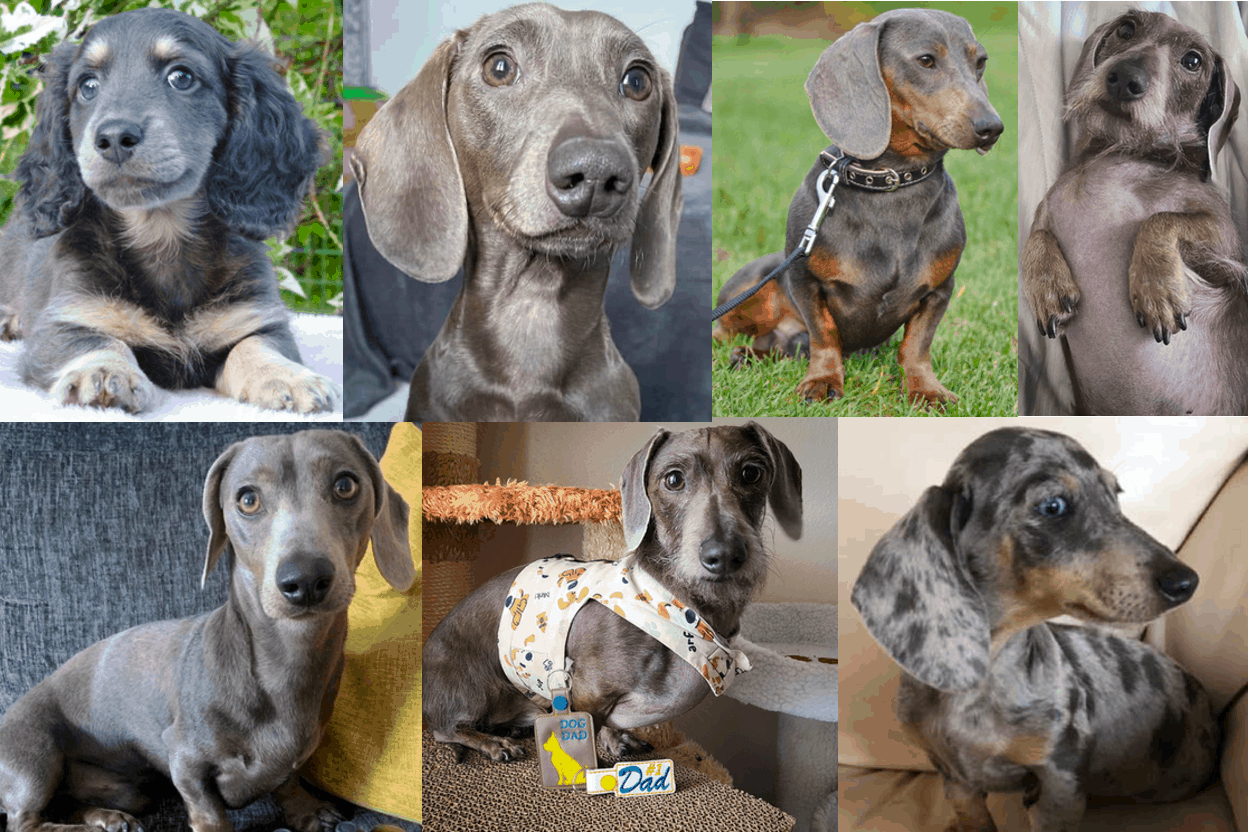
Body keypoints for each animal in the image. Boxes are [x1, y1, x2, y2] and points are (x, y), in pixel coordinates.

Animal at [0, 9, 339, 414]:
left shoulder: (255, 318)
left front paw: (287, 375)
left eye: (182, 77)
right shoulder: (65, 320)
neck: (161, 232)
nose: (113, 137)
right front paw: (103, 370)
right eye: (87, 86)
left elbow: (256, 345)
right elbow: (96, 341)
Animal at [718, 8, 998, 409]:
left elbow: (917, 345)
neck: (891, 181)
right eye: (926, 60)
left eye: (981, 62)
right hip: (752, 289)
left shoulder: (940, 290)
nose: (993, 127)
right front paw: (822, 381)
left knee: (775, 346)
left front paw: (925, 388)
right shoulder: (804, 280)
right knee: (729, 332)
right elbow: (824, 335)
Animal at [853, 429, 1213, 832]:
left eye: (1115, 494)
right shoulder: (955, 780)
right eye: (1053, 506)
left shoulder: (1059, 780)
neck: (984, 681)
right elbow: (974, 818)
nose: (1186, 582)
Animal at [1023, 11, 1248, 414]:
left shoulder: (1227, 241)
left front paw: (1157, 289)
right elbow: (1036, 237)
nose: (1126, 78)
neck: (1123, 152)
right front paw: (1048, 288)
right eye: (1126, 28)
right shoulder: (1045, 210)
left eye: (1193, 61)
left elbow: (1159, 220)